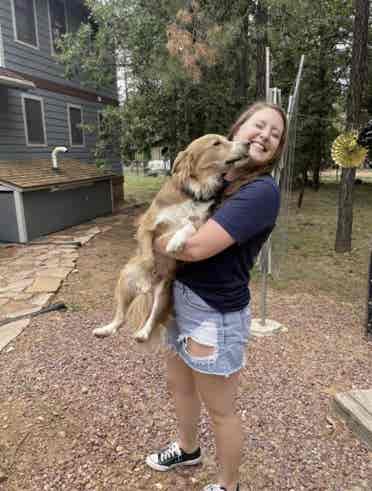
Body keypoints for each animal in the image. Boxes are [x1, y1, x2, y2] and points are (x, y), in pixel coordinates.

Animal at [93, 133, 250, 344]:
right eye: (217, 143)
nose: (248, 143)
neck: (193, 193)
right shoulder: (146, 226)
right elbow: (148, 257)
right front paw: (146, 275)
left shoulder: (201, 225)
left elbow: (188, 225)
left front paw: (175, 242)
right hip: (125, 278)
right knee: (120, 317)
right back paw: (106, 328)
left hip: (163, 294)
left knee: (150, 317)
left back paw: (142, 333)